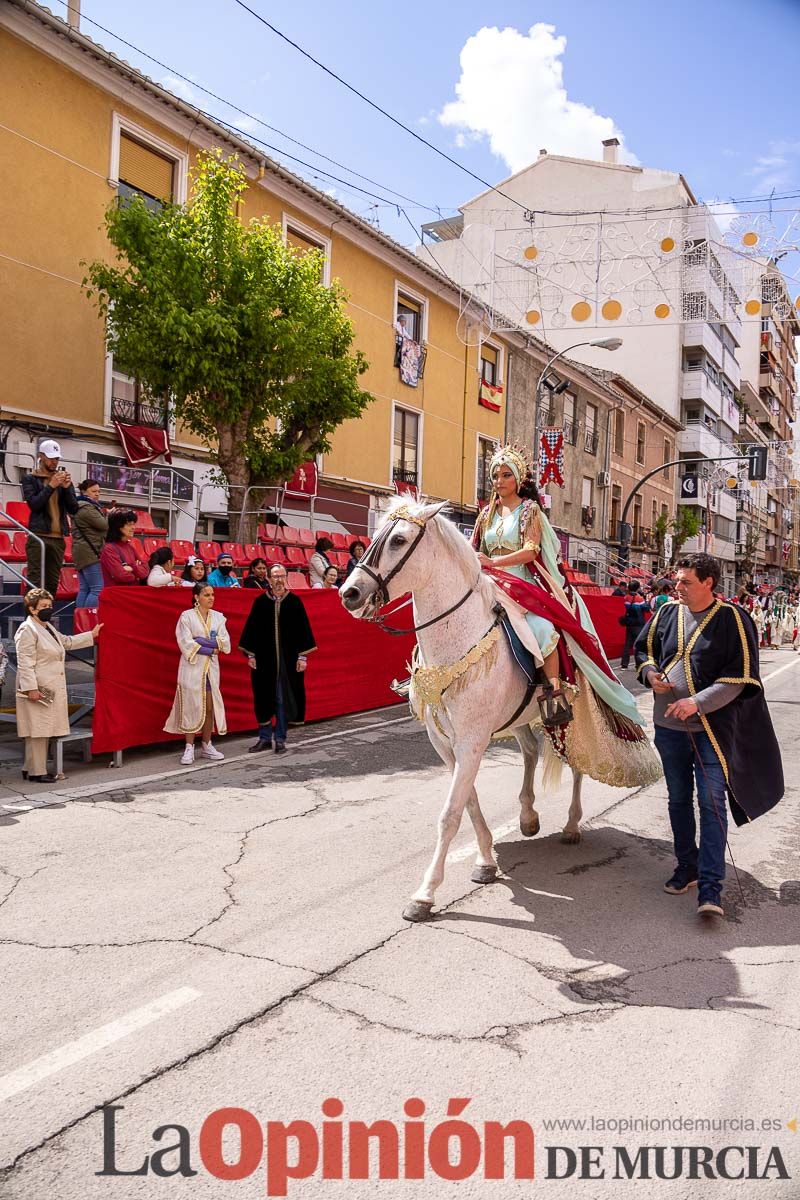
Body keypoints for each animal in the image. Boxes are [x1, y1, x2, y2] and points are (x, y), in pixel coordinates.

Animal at [338, 501, 582, 921]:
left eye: (398, 540)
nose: (348, 592)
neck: (455, 640)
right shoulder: (446, 743)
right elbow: (468, 801)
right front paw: (485, 860)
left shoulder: (471, 740)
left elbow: (450, 813)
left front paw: (424, 894)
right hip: (518, 717)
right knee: (530, 752)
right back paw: (528, 817)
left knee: (580, 764)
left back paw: (571, 825)